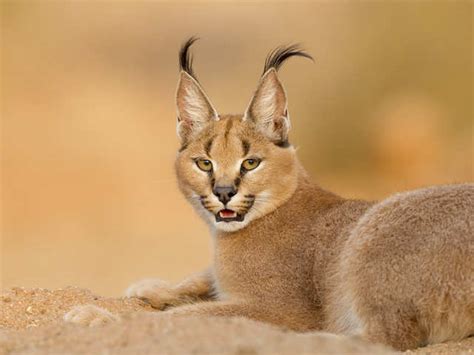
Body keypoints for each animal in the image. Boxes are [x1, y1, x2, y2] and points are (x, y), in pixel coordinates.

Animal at [65, 38, 472, 350]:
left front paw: (98, 315)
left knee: (388, 337)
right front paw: (152, 287)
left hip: (374, 226)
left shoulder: (277, 307)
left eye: (250, 163)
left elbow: (187, 317)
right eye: (204, 163)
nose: (224, 192)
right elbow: (199, 285)